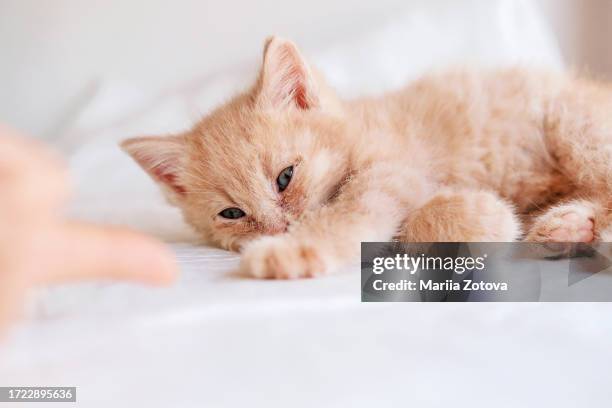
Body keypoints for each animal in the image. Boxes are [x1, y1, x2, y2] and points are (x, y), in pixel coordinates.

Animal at [122, 36, 612, 278]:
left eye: (285, 177)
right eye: (231, 213)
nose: (279, 229)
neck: (358, 129)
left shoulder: (389, 170)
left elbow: (354, 215)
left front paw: (289, 252)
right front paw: (480, 215)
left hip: (574, 123)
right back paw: (567, 227)